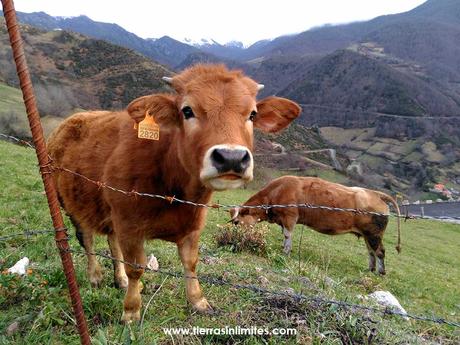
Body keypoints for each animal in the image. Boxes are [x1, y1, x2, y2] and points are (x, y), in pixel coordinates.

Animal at [47, 63, 302, 322]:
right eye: (187, 111)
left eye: (252, 114)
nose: (231, 158)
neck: (176, 193)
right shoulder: (128, 223)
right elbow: (135, 267)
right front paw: (131, 310)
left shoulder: (192, 225)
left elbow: (190, 263)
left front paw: (198, 301)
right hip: (69, 202)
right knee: (87, 238)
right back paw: (96, 276)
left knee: (111, 241)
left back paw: (120, 280)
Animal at [229, 176, 398, 272]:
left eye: (237, 222)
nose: (235, 238)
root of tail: (375, 194)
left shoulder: (290, 217)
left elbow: (287, 235)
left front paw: (286, 251)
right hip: (368, 235)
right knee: (371, 251)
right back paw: (370, 269)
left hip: (374, 234)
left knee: (380, 252)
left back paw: (380, 272)